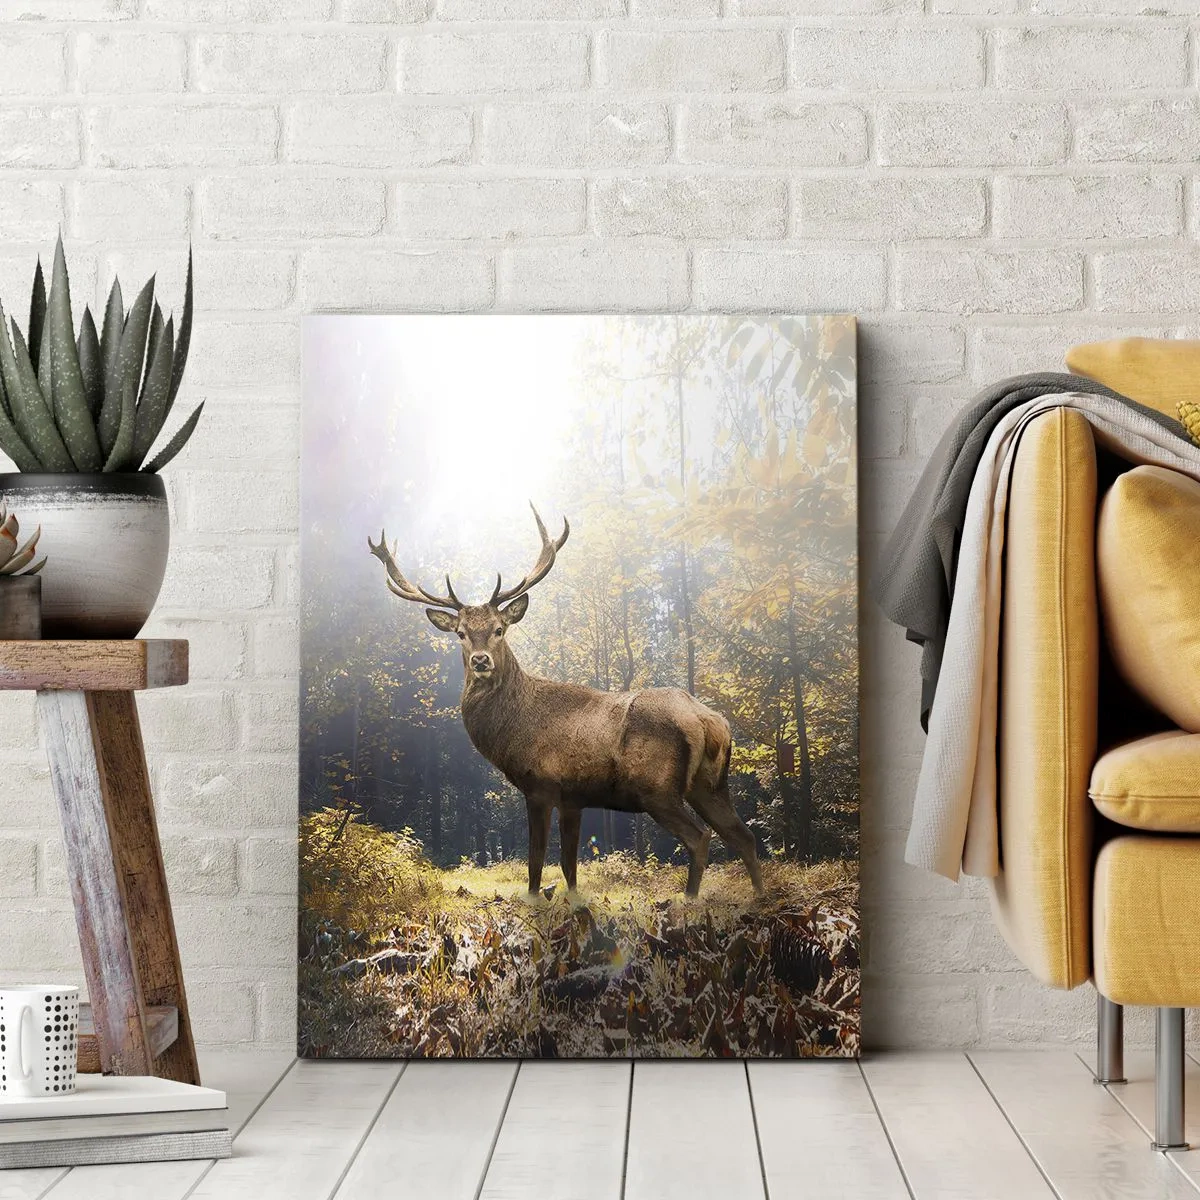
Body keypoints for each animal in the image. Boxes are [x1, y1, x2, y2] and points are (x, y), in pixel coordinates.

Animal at [368, 505, 764, 900]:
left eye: (499, 629)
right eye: (461, 633)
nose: (481, 661)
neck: (512, 731)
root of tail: (708, 720)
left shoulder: (540, 785)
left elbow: (536, 858)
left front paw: (534, 899)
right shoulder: (574, 796)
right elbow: (569, 864)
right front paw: (573, 899)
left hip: (657, 787)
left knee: (701, 837)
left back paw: (690, 899)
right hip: (710, 784)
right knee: (744, 835)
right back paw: (759, 896)